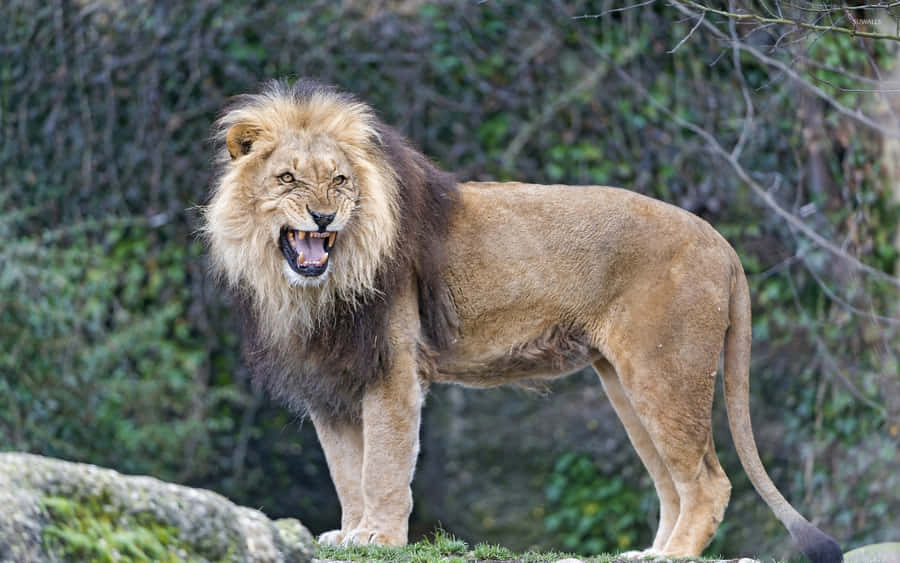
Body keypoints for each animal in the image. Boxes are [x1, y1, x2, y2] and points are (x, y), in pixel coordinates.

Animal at [202, 79, 842, 563]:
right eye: (287, 178)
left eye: (339, 180)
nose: (323, 217)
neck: (315, 289)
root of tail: (721, 244)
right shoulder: (331, 381)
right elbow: (345, 468)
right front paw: (351, 535)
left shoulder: (392, 371)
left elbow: (382, 465)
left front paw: (379, 538)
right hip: (626, 382)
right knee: (671, 482)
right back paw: (651, 553)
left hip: (665, 371)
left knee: (709, 482)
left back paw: (675, 556)